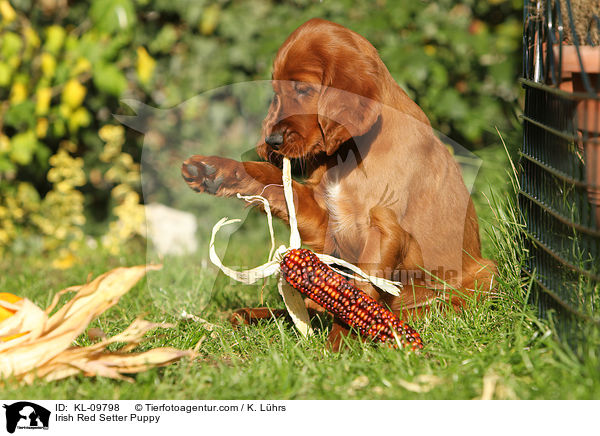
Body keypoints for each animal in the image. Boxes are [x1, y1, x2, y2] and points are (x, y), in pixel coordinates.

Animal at [182, 17, 496, 350]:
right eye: (276, 92)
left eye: (304, 89)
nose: (272, 141)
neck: (347, 156)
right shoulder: (327, 223)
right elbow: (273, 180)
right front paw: (213, 170)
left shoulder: (383, 227)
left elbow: (362, 288)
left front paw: (340, 343)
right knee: (314, 307)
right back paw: (255, 314)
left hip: (483, 273)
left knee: (432, 307)